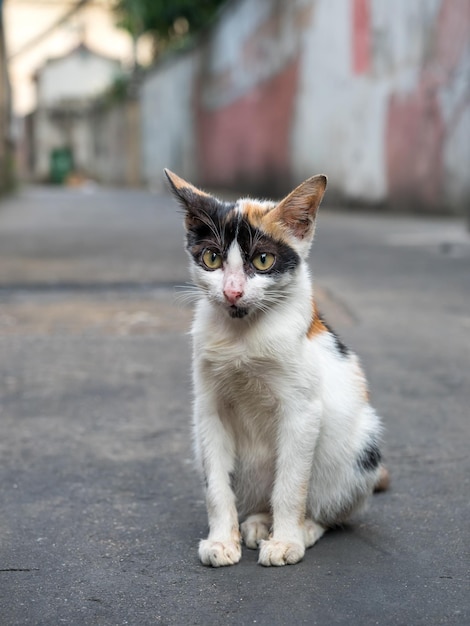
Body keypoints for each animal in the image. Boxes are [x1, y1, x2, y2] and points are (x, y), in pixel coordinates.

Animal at [163, 169, 388, 564]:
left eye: (263, 261)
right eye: (211, 258)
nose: (233, 292)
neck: (243, 333)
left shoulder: (302, 411)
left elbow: (291, 483)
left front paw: (286, 541)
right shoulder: (208, 409)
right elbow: (215, 485)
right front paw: (222, 540)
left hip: (363, 447)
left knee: (330, 508)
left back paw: (305, 528)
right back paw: (255, 522)